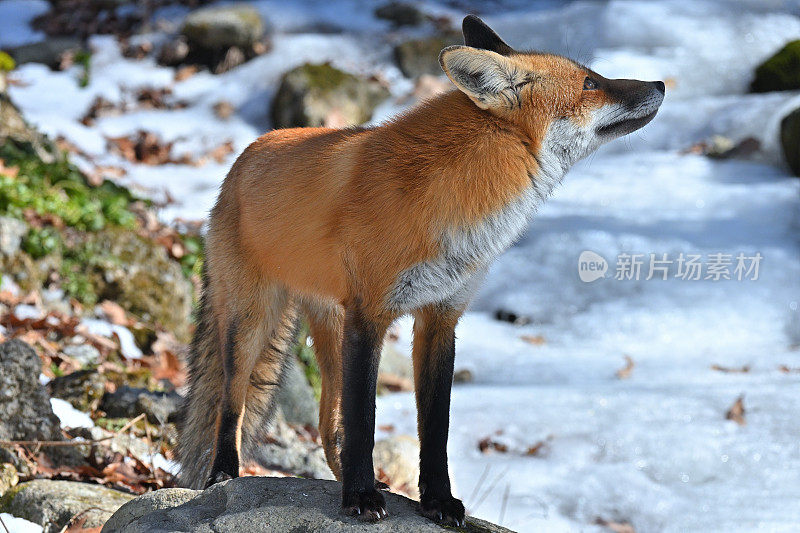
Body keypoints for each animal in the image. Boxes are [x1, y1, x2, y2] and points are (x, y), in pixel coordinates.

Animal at [178, 14, 664, 524]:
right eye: (591, 83)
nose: (660, 83)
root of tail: (242, 158)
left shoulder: (440, 317)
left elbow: (434, 430)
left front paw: (436, 501)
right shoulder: (369, 317)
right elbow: (365, 422)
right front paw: (360, 497)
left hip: (329, 329)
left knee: (329, 424)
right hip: (251, 323)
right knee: (232, 402)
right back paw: (225, 474)